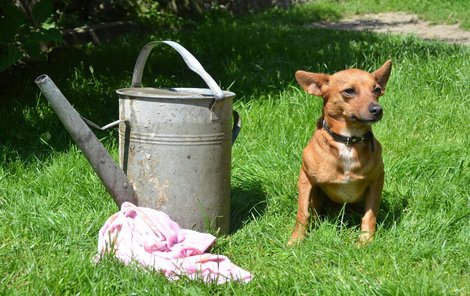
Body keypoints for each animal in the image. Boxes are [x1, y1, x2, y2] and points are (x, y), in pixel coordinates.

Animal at [290, 60, 392, 245]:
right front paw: (296, 240)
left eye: (377, 90)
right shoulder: (305, 178)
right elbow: (303, 212)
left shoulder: (377, 180)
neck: (348, 141)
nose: (377, 109)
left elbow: (370, 214)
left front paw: (365, 240)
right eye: (349, 91)